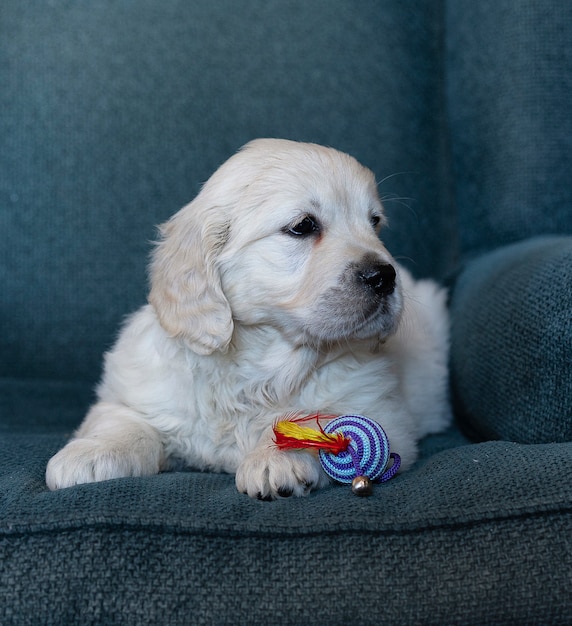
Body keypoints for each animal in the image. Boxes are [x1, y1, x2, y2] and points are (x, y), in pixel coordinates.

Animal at [45, 140, 452, 498]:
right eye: (303, 226)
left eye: (375, 223)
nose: (385, 276)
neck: (260, 365)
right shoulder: (137, 392)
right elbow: (124, 421)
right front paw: (91, 453)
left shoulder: (382, 411)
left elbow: (322, 426)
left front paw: (279, 457)